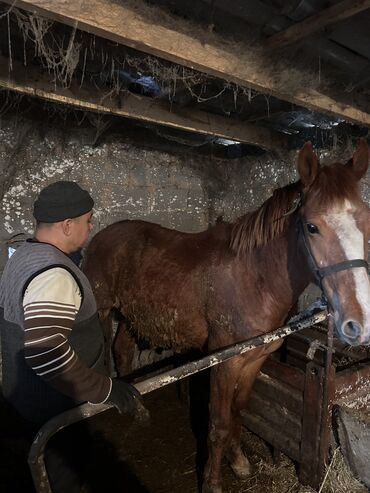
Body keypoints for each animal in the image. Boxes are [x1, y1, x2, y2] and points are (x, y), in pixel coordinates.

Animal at [82, 139, 370, 492]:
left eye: (367, 222)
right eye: (312, 226)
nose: (358, 319)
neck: (255, 277)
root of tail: (102, 236)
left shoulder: (254, 360)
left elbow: (238, 411)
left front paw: (239, 461)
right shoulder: (224, 362)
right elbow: (218, 422)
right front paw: (212, 481)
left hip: (130, 313)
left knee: (123, 349)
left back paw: (139, 410)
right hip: (103, 310)